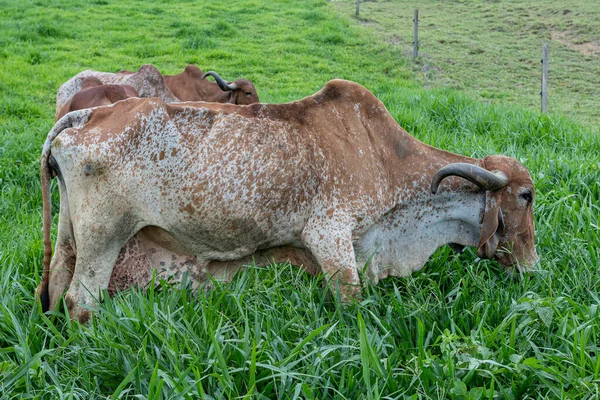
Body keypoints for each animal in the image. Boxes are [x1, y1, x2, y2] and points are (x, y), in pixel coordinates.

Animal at [38, 79, 540, 324]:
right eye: (526, 195)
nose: (534, 268)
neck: (384, 157)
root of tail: (91, 113)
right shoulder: (330, 236)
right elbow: (351, 303)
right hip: (105, 237)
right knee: (80, 302)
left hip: (70, 238)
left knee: (57, 284)